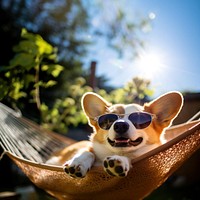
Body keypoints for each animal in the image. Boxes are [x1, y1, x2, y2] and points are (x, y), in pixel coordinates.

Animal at [47, 91, 183, 177]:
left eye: (139, 119)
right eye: (108, 120)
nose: (120, 125)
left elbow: (129, 158)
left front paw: (120, 161)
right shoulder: (88, 148)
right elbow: (88, 152)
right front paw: (78, 162)